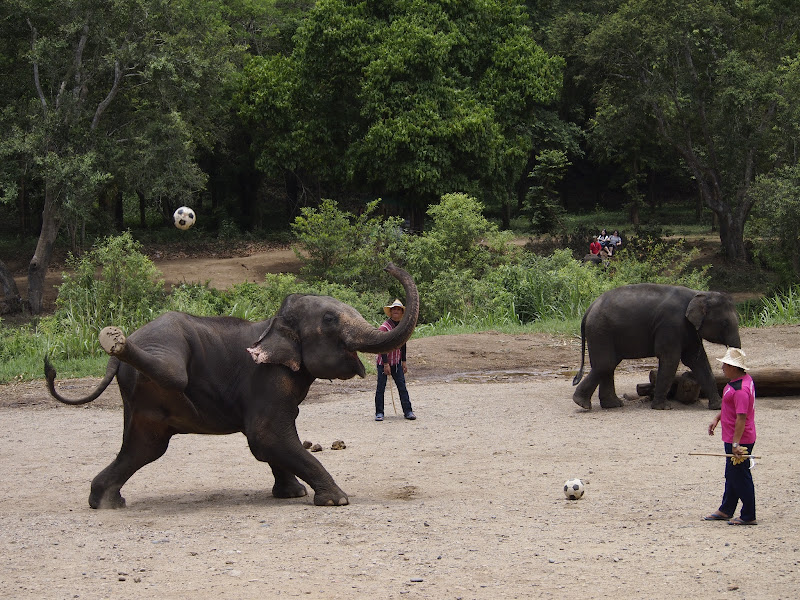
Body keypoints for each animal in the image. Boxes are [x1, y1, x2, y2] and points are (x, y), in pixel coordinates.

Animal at [45, 264, 418, 508]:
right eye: (329, 320)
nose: (387, 264)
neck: (275, 323)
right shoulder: (267, 377)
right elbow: (266, 435)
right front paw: (337, 500)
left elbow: (275, 437)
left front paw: (292, 493)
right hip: (160, 363)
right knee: (164, 400)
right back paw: (115, 341)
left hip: (141, 401)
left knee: (143, 447)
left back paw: (106, 501)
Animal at [572, 284, 740, 410]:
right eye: (725, 323)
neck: (698, 294)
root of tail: (589, 309)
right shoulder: (671, 325)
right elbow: (671, 359)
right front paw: (663, 407)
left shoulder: (689, 330)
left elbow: (697, 360)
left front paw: (718, 407)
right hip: (601, 331)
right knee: (606, 364)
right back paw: (582, 403)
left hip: (601, 332)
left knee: (607, 365)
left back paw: (611, 405)